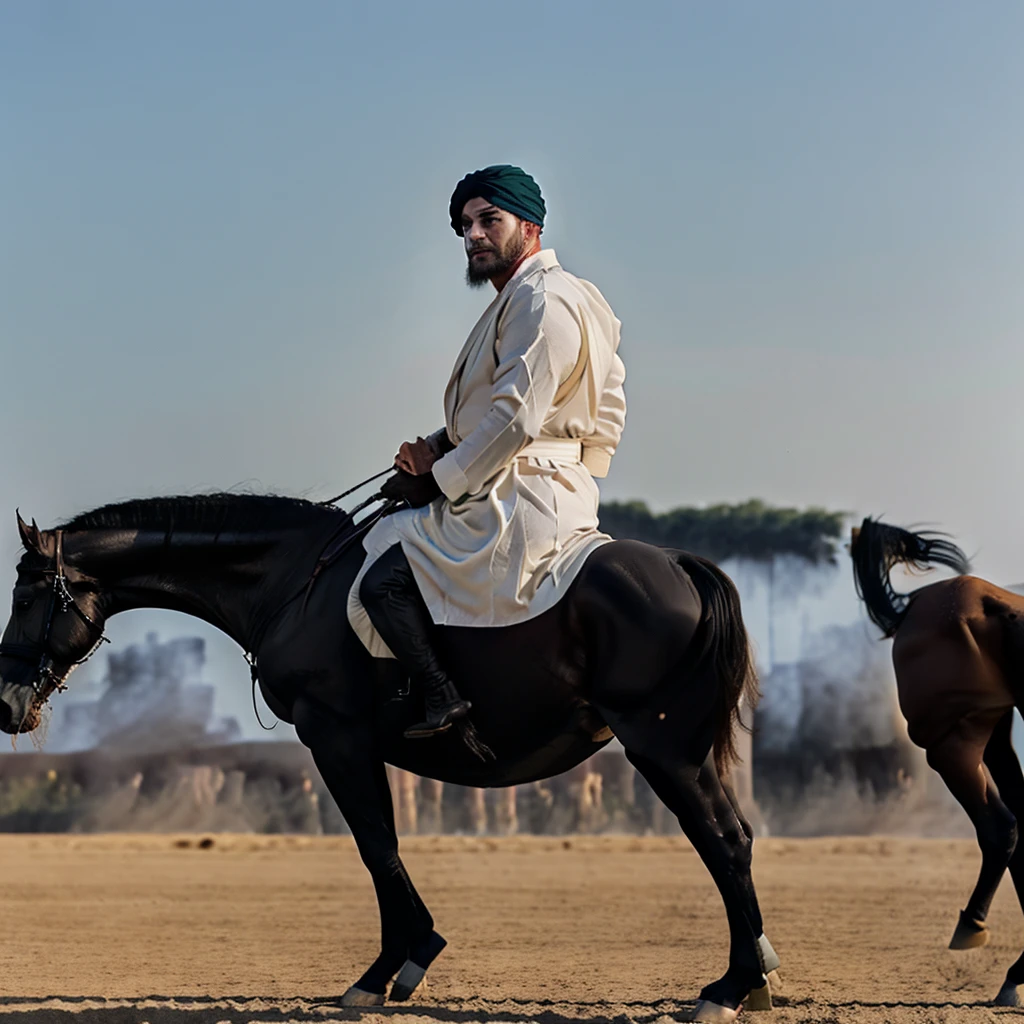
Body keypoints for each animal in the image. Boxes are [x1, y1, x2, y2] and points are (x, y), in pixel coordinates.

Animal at [0, 491, 774, 1019]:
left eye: (28, 596)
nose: (7, 703)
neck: (295, 582)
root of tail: (677, 565)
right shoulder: (352, 746)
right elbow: (386, 844)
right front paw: (406, 957)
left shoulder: (335, 736)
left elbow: (376, 845)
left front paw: (388, 969)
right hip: (686, 751)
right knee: (735, 836)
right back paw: (755, 970)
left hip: (660, 746)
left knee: (722, 840)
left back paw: (730, 987)